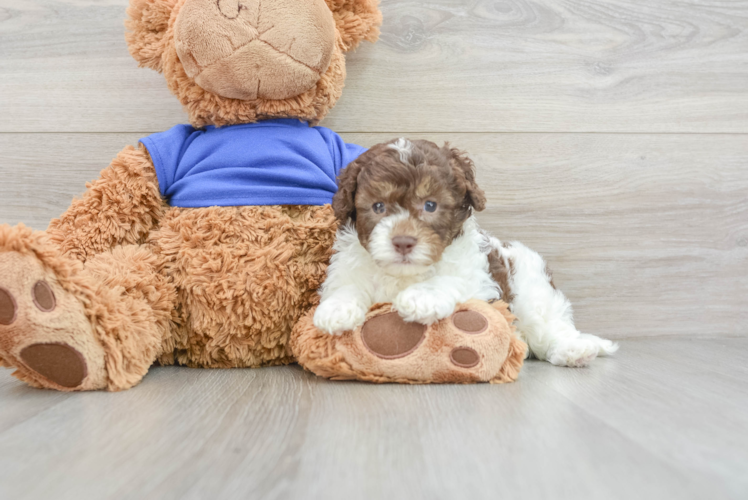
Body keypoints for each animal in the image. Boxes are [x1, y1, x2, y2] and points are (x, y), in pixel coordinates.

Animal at [312, 139, 616, 366]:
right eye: (378, 207)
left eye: (430, 205)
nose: (403, 242)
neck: (404, 275)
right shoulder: (348, 268)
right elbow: (347, 285)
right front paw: (336, 309)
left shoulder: (479, 279)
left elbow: (451, 280)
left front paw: (421, 297)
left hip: (533, 294)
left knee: (550, 329)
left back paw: (574, 351)